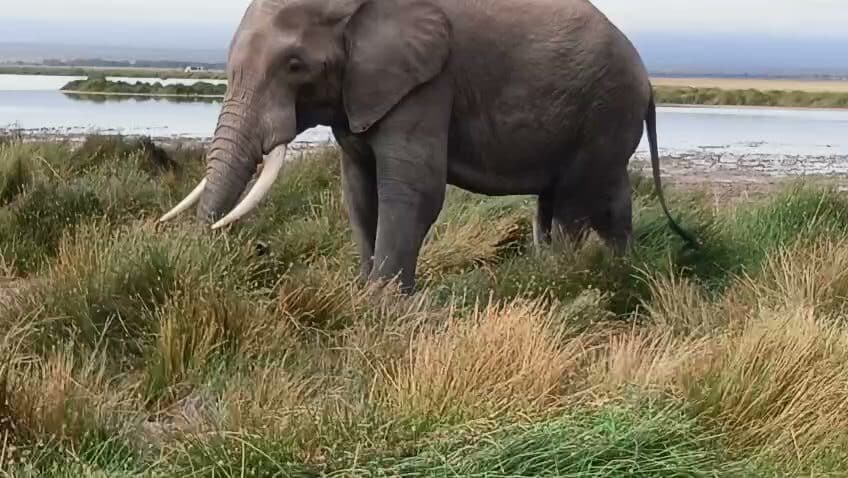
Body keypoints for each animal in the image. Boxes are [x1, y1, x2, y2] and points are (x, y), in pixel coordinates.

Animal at [160, 0, 698, 293]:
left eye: (294, 65)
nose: (203, 253)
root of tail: (649, 82)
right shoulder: (360, 90)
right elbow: (359, 192)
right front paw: (363, 293)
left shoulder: (428, 80)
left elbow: (412, 190)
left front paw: (383, 305)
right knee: (596, 198)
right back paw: (618, 271)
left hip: (604, 106)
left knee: (572, 203)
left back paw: (565, 279)